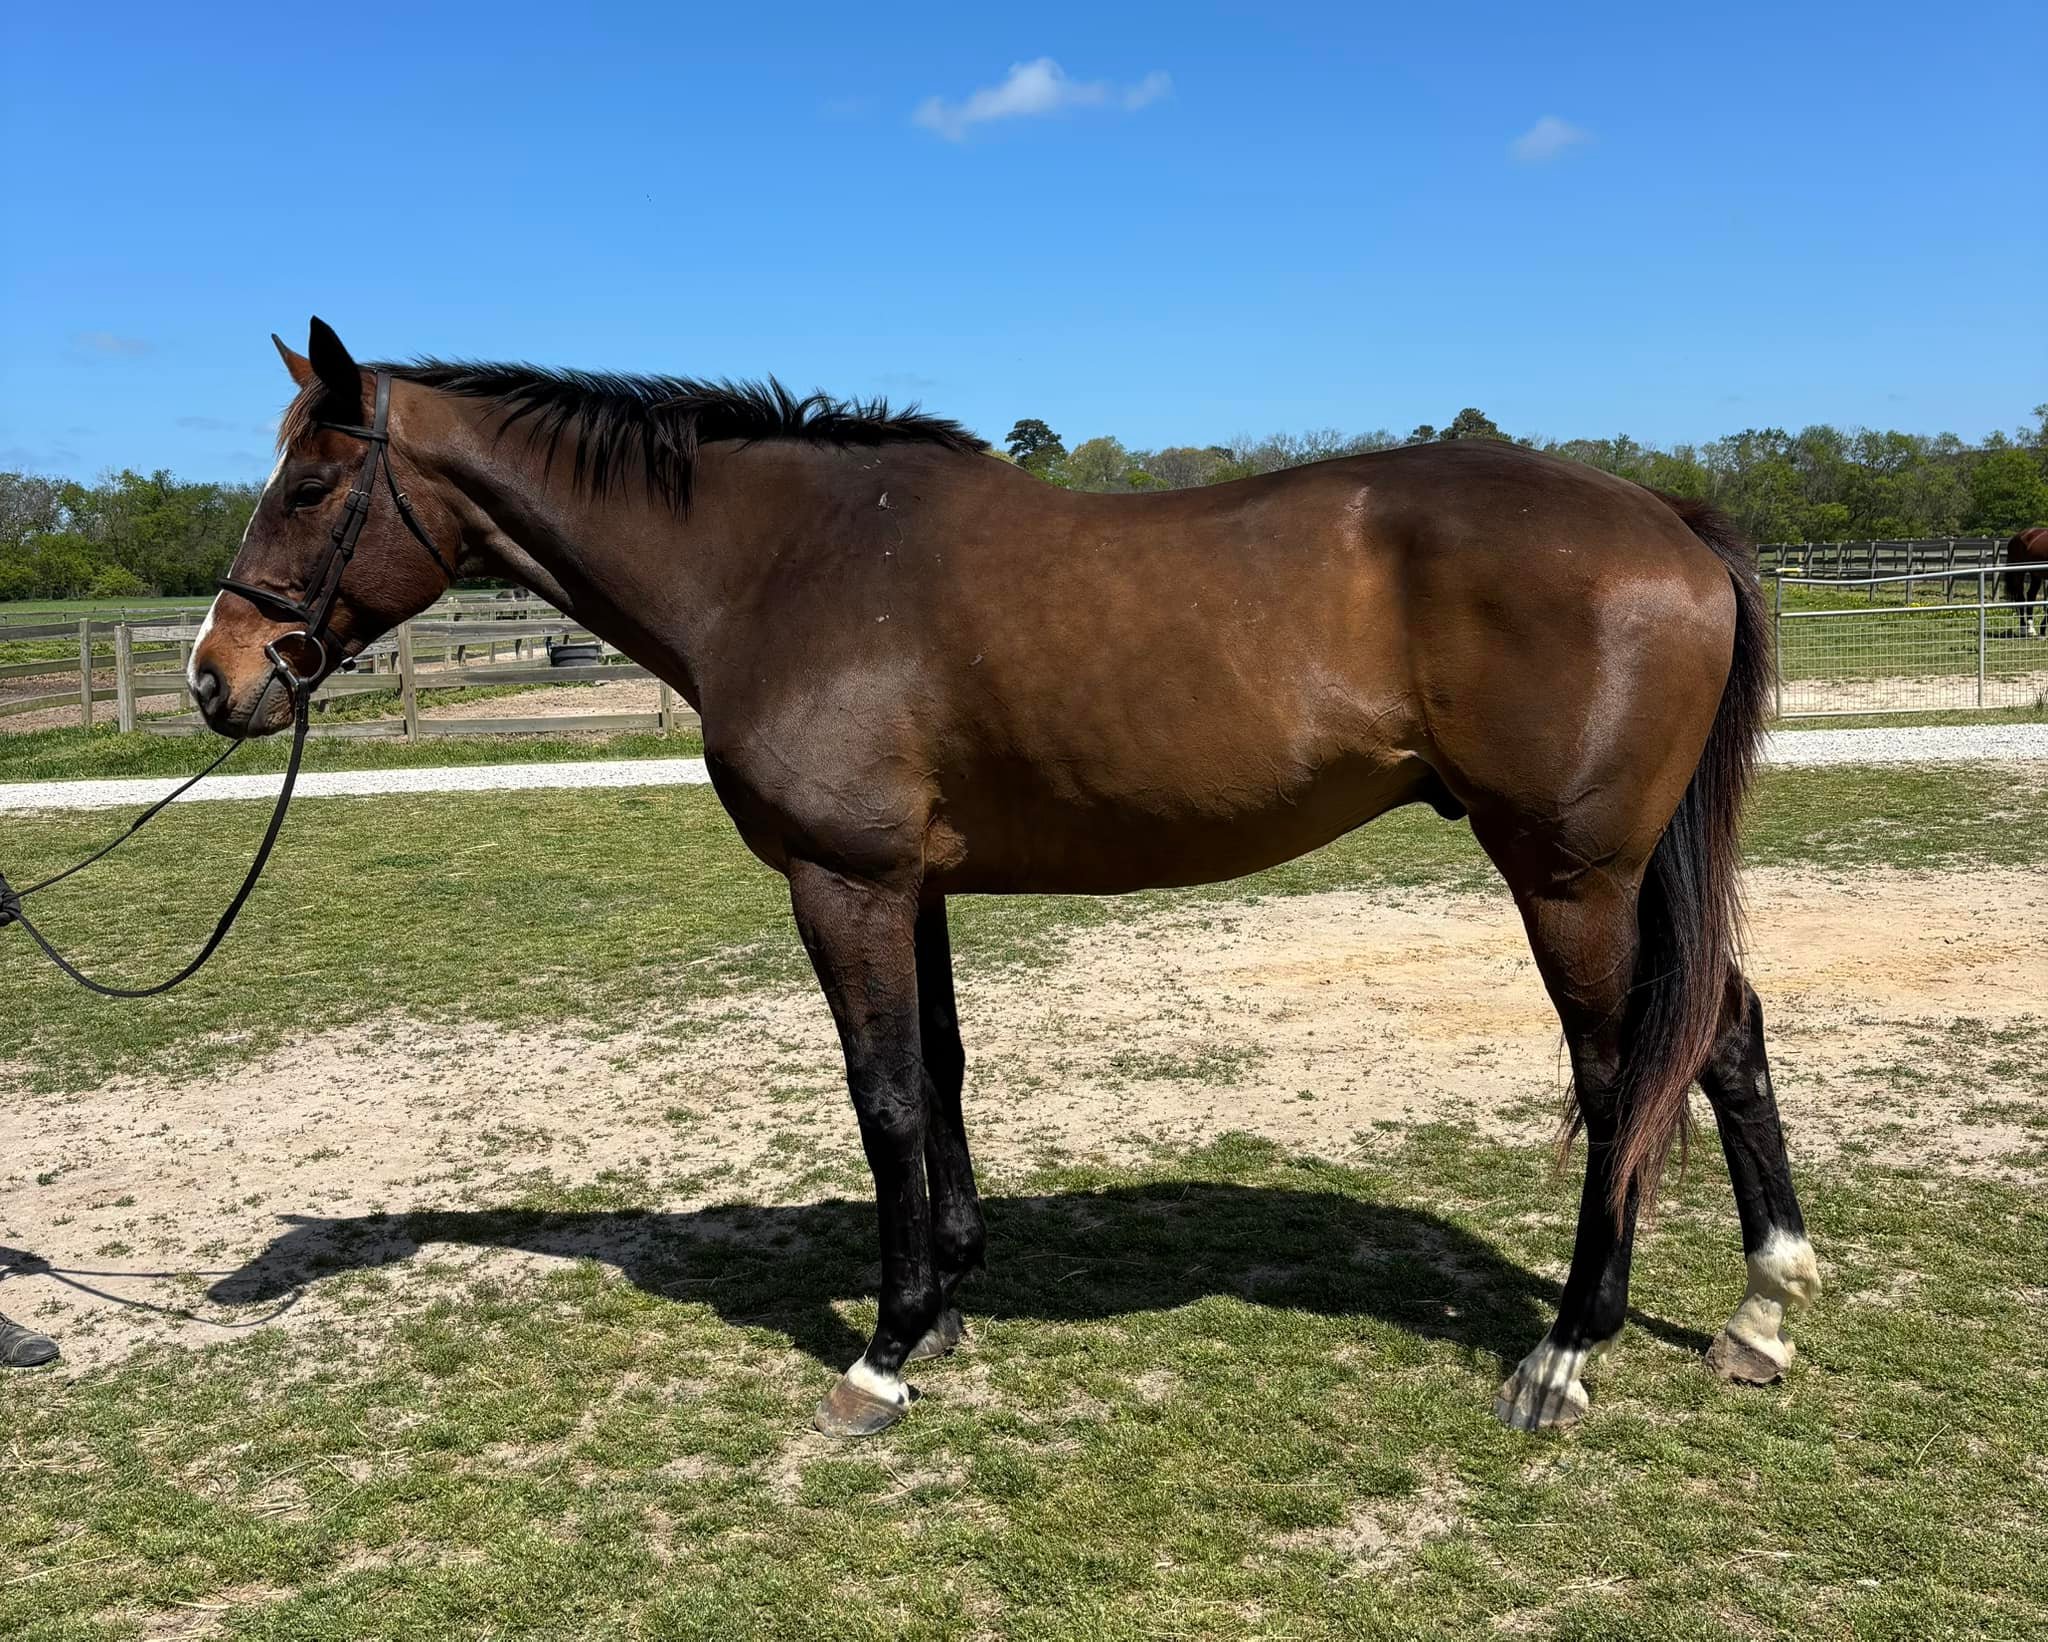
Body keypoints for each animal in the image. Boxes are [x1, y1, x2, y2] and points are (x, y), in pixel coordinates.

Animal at [170, 319, 1819, 1436]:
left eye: (311, 483)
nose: (216, 676)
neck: (784, 565)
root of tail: (1667, 519)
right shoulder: (914, 886)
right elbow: (944, 1076)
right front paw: (954, 1296)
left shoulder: (841, 883)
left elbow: (886, 1094)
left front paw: (885, 1348)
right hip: (1621, 875)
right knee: (1725, 1034)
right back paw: (1761, 1308)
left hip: (1569, 874)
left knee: (1621, 1070)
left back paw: (1568, 1350)